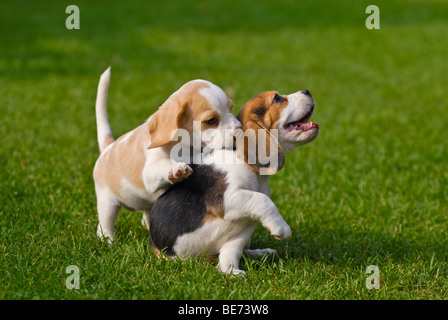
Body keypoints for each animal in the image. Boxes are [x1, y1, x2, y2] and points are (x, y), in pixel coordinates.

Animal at [91, 68, 243, 242]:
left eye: (231, 108)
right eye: (211, 120)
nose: (240, 129)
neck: (185, 146)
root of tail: (108, 147)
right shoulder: (149, 172)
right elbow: (163, 165)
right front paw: (176, 170)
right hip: (106, 203)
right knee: (104, 225)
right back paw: (108, 240)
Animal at [150, 89, 318, 276]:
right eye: (277, 98)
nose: (307, 91)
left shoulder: (241, 231)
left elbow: (231, 251)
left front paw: (229, 271)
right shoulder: (226, 198)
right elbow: (262, 199)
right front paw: (281, 228)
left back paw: (261, 253)